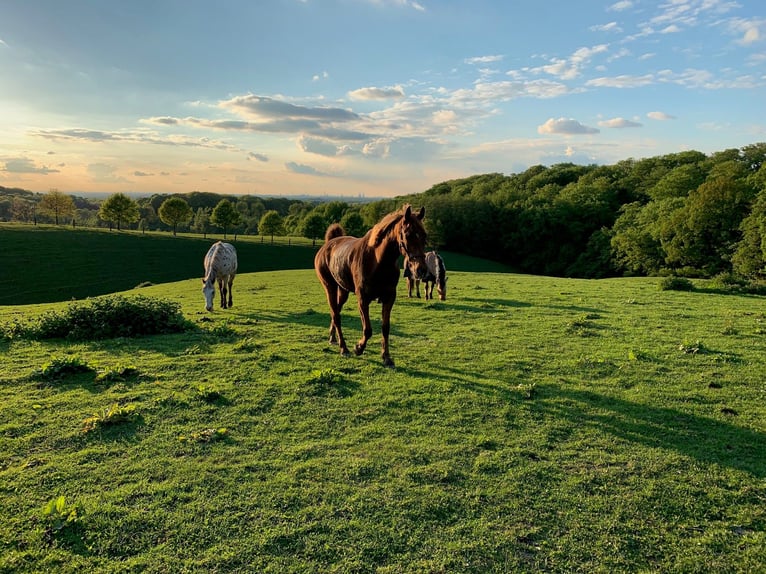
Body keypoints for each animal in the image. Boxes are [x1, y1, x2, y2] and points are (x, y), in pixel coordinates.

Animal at [314, 204, 427, 368]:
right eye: (408, 234)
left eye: (424, 236)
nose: (421, 270)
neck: (378, 261)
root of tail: (329, 244)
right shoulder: (363, 299)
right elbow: (367, 329)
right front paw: (358, 348)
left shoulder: (389, 298)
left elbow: (385, 328)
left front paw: (386, 357)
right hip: (330, 287)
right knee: (336, 314)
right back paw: (344, 348)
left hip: (343, 291)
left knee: (336, 311)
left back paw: (333, 337)